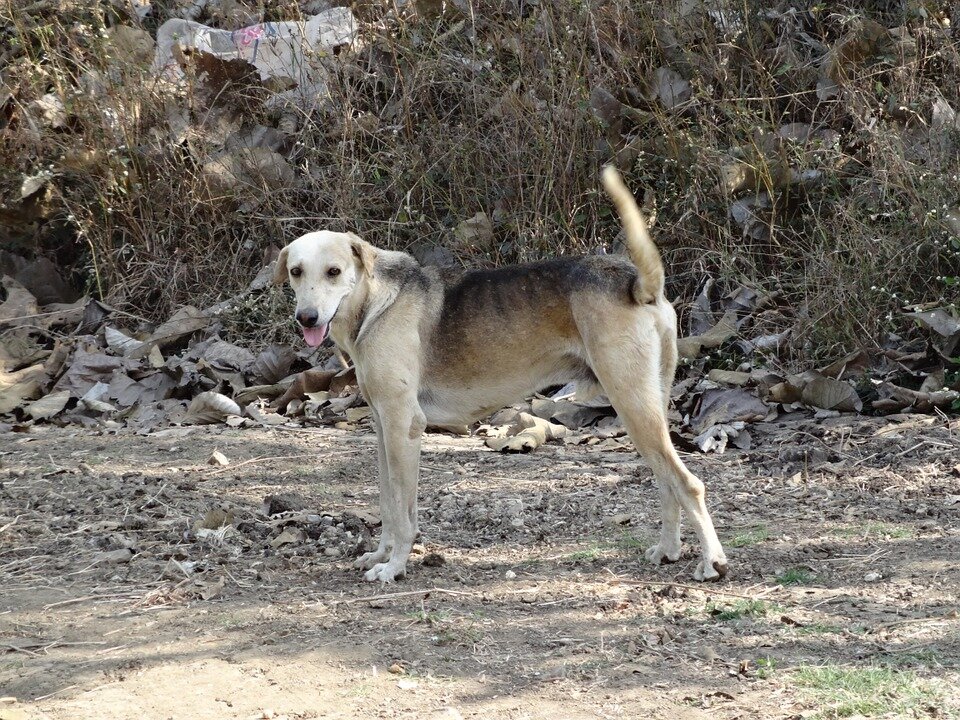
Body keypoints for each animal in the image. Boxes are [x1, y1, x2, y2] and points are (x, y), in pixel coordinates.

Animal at [274, 169, 732, 584]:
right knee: (666, 483)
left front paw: (395, 567)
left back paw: (712, 562)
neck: (374, 301)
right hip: (648, 408)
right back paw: (669, 550)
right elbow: (389, 504)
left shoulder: (404, 426)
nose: (306, 318)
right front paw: (381, 555)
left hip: (633, 406)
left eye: (334, 272)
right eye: (296, 271)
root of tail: (635, 281)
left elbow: (403, 514)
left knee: (688, 484)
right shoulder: (384, 428)